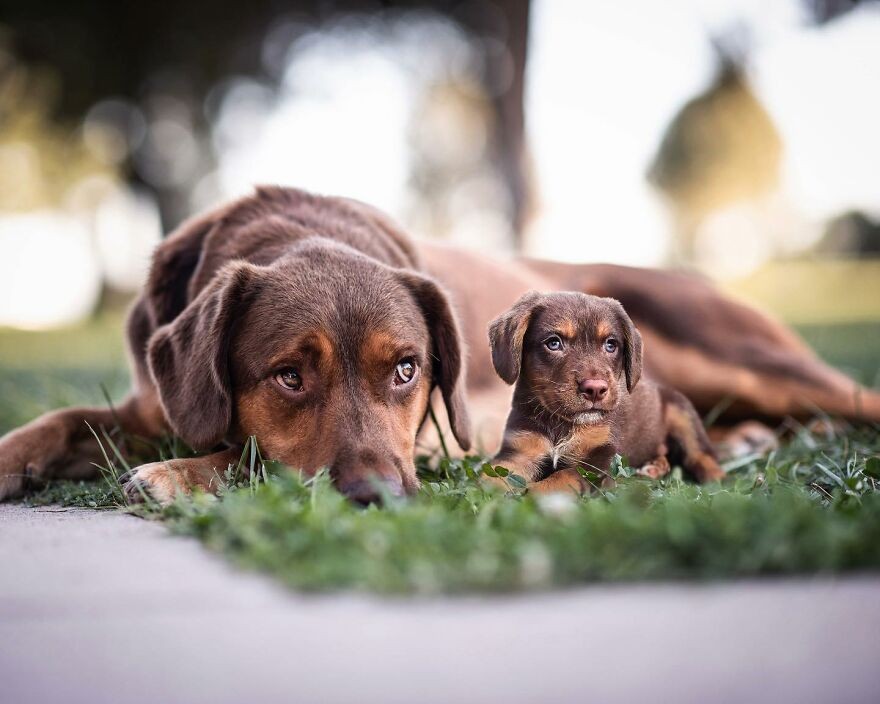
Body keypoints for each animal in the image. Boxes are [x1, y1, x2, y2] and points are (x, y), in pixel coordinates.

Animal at [1, 190, 880, 504]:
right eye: (287, 376)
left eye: (407, 369)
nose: (381, 497)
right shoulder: (161, 397)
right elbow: (67, 421)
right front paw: (16, 458)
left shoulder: (439, 443)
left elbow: (246, 455)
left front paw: (179, 473)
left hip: (738, 355)